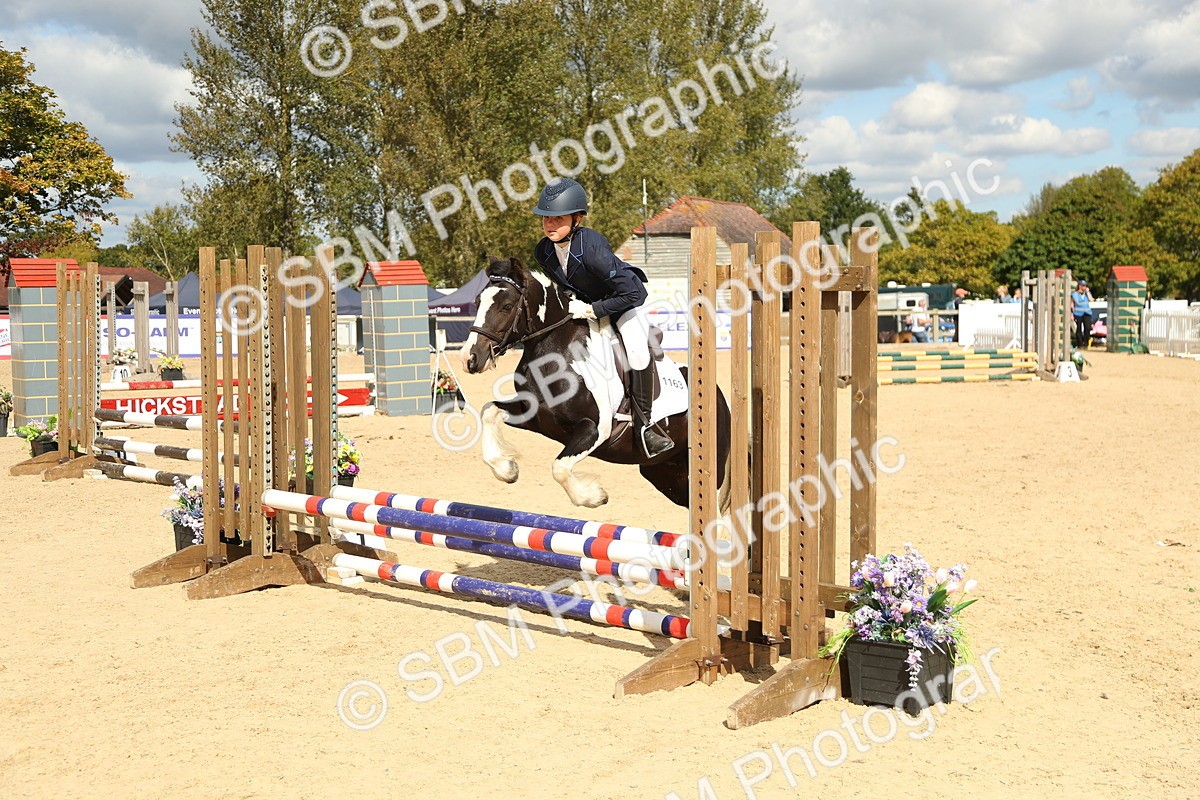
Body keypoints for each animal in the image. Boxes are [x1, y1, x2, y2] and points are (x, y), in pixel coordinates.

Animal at [459, 255, 731, 509]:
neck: (554, 353)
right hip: (663, 472)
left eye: (506, 306)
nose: (470, 358)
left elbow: (559, 467)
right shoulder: (535, 417)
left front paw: (593, 496)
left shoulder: (595, 429)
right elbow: (489, 411)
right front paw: (507, 469)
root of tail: (718, 395)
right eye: (477, 302)